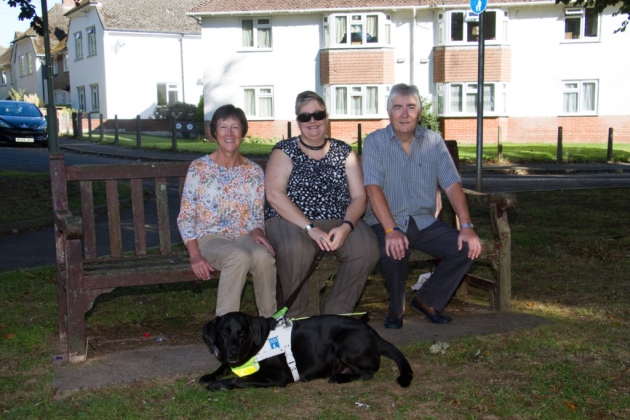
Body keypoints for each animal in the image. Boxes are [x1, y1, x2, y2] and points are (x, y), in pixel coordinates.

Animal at [200, 312, 412, 390]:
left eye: (242, 333)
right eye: (223, 333)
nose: (233, 353)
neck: (255, 347)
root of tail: (375, 334)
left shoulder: (278, 378)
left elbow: (239, 379)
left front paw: (218, 384)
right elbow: (224, 366)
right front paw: (211, 376)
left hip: (343, 341)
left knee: (368, 373)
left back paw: (339, 378)